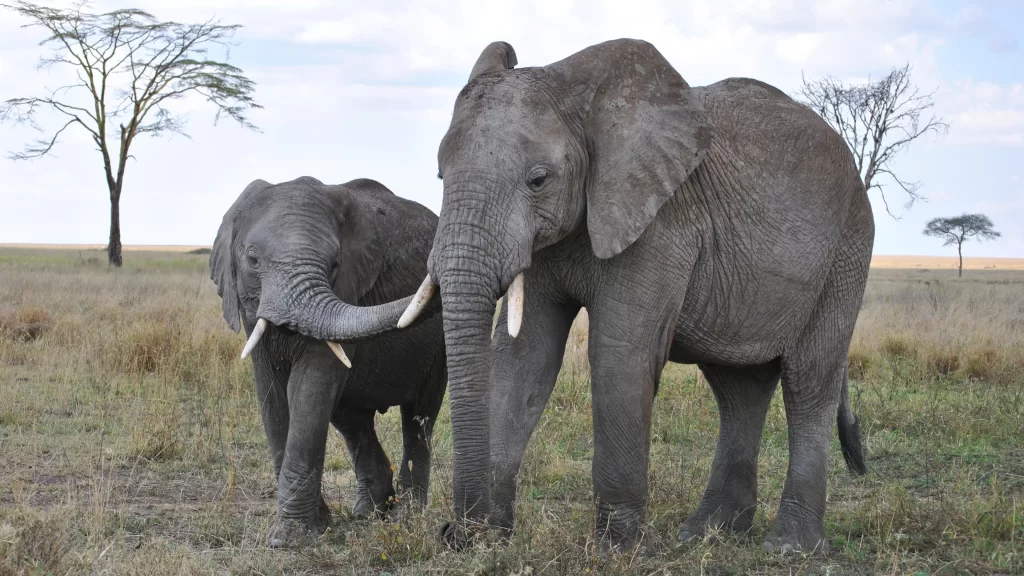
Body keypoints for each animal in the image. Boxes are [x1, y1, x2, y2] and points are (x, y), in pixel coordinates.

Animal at [210, 176, 447, 547]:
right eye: (252, 259)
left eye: (334, 264)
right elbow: (272, 396)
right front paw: (314, 528)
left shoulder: (349, 288)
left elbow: (309, 387)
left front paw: (291, 539)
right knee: (352, 419)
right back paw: (368, 512)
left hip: (438, 349)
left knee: (419, 416)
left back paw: (404, 517)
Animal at [391, 39, 872, 554]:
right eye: (440, 177)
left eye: (538, 180)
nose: (453, 532)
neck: (580, 96)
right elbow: (524, 356)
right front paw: (490, 540)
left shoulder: (660, 221)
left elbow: (618, 354)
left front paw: (616, 549)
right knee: (738, 388)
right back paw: (705, 534)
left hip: (847, 249)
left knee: (808, 379)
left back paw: (788, 547)